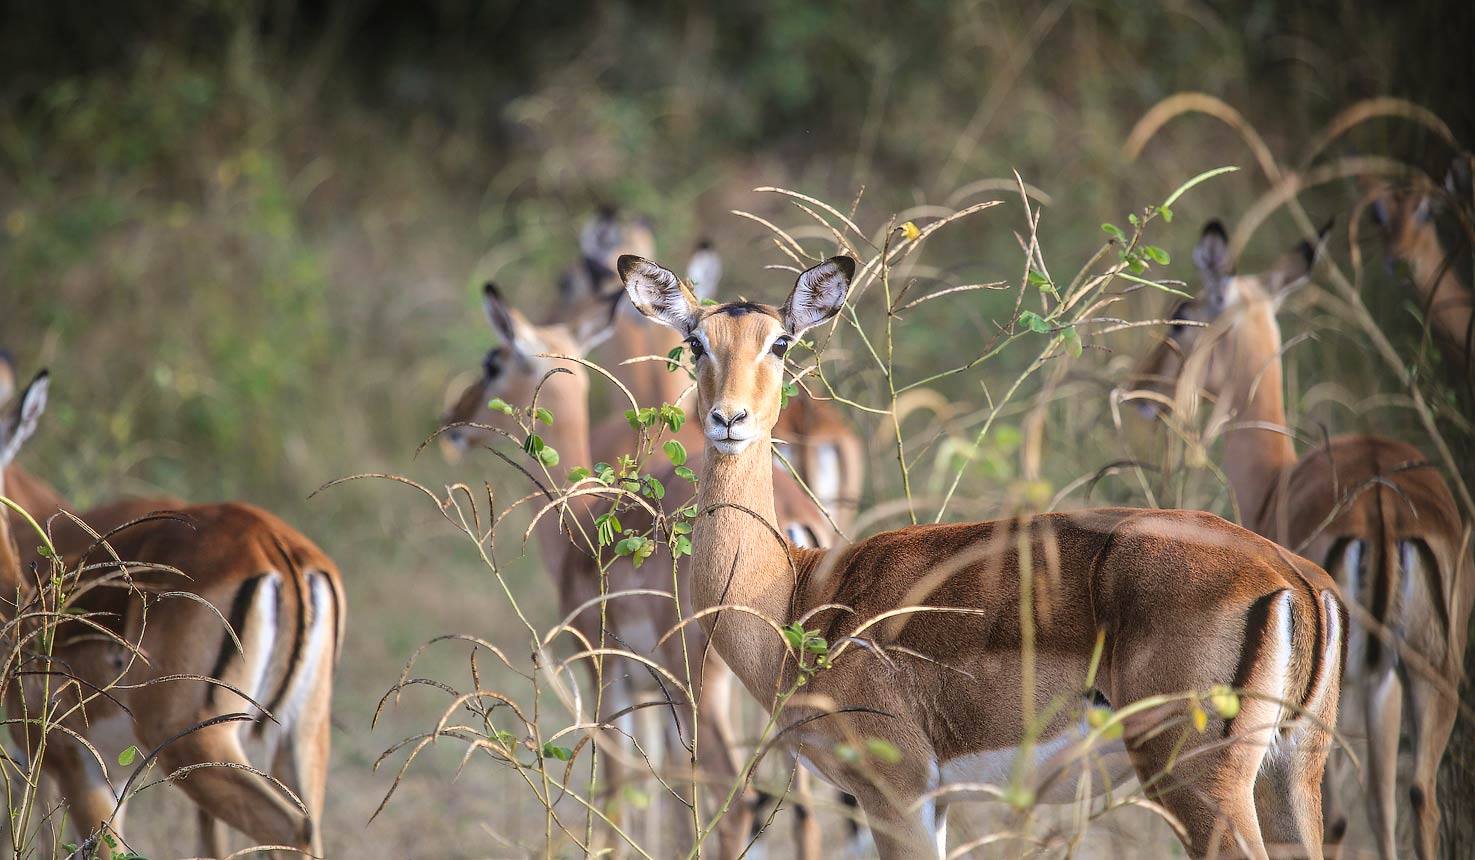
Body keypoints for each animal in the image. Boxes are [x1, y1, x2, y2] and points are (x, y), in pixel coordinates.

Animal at [442, 284, 839, 857]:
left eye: (493, 362)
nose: (453, 421)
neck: (580, 525)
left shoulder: (606, 674)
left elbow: (616, 787)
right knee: (802, 808)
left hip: (703, 686)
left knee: (739, 798)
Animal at [616, 251, 1345, 859]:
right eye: (695, 341)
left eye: (781, 342)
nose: (729, 419)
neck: (796, 599)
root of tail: (1289, 578)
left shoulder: (897, 793)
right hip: (1289, 776)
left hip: (1196, 782)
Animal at [1126, 220, 1472, 860]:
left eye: (1181, 317)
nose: (1141, 389)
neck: (1276, 478)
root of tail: (1386, 505)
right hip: (1428, 671)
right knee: (1415, 795)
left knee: (1341, 816)